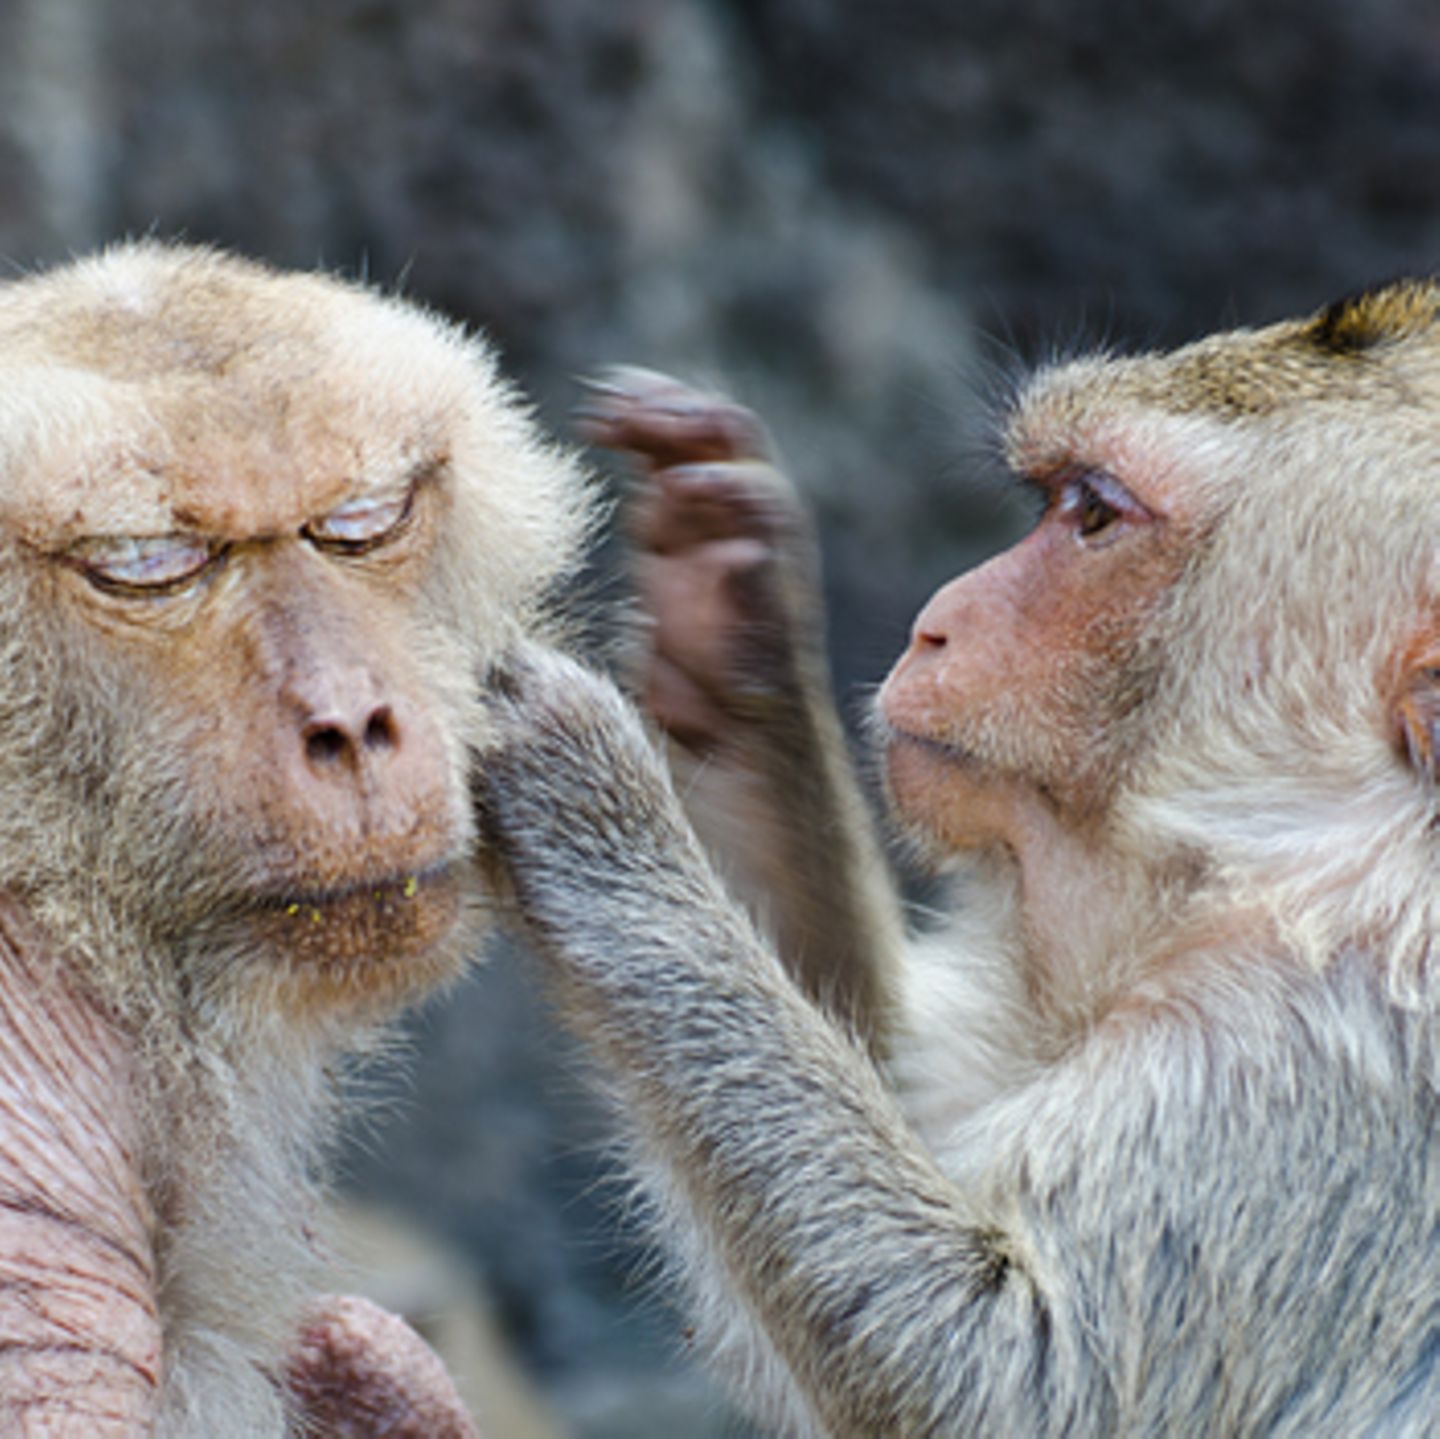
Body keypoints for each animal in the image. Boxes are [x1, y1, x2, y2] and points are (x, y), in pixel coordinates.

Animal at [478, 286, 1440, 1434]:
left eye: (1095, 515)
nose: (938, 620)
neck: (1320, 841)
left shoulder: (1316, 1048)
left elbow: (1006, 1378)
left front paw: (594, 799)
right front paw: (736, 634)